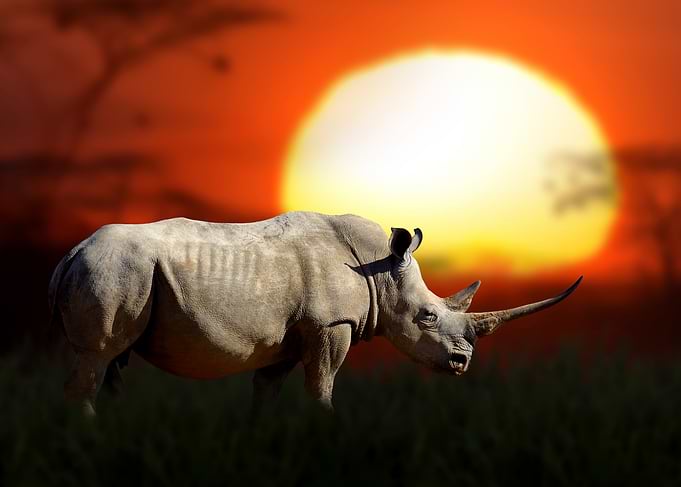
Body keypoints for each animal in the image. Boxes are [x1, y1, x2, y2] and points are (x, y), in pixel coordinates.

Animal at [48, 211, 581, 416]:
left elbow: (266, 391)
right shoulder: (330, 324)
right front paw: (325, 426)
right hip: (113, 268)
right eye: (427, 317)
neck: (382, 271)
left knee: (114, 363)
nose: (462, 363)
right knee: (98, 356)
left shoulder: (286, 336)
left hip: (120, 272)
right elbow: (322, 384)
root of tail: (70, 253)